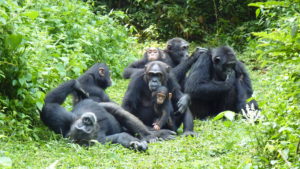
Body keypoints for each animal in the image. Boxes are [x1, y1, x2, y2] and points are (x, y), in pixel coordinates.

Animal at [39, 79, 176, 151]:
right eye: (85, 129)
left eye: (84, 124)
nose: (87, 120)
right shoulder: (100, 141)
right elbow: (120, 137)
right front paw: (137, 144)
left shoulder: (63, 119)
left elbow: (48, 105)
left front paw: (77, 86)